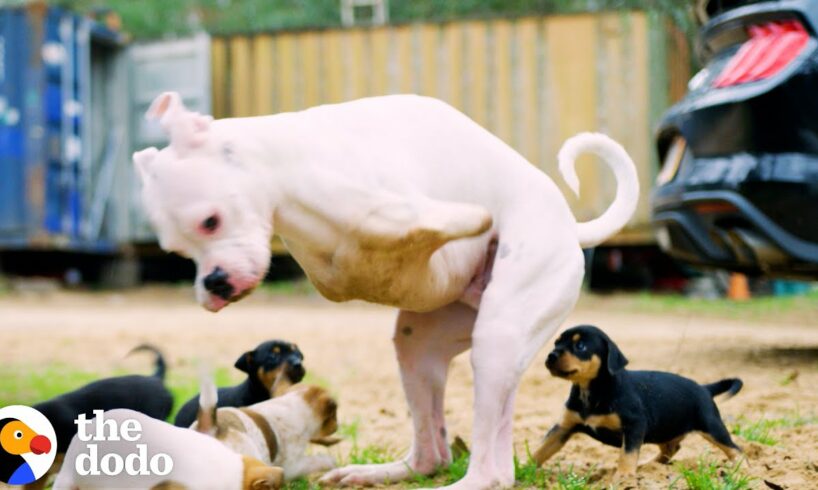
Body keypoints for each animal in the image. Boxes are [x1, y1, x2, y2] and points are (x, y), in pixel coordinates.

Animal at [532, 326, 744, 482]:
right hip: (665, 429)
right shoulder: (564, 426)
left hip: (711, 426)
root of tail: (704, 388)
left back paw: (743, 470)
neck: (591, 390)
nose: (551, 356)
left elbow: (628, 453)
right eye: (556, 343)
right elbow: (541, 449)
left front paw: (624, 477)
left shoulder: (634, 425)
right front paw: (525, 470)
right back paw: (650, 466)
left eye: (581, 346)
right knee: (671, 448)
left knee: (736, 449)